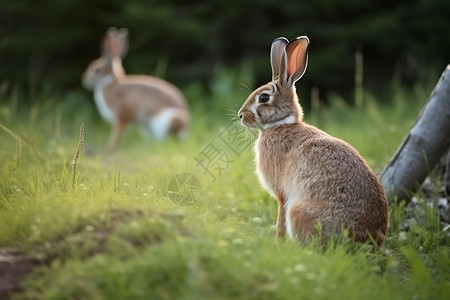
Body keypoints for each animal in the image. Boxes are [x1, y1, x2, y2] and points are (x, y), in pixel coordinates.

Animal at [237, 36, 388, 245]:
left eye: (264, 97)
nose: (240, 115)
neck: (281, 124)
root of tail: (369, 237)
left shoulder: (283, 196)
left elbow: (280, 218)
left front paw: (277, 242)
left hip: (298, 212)